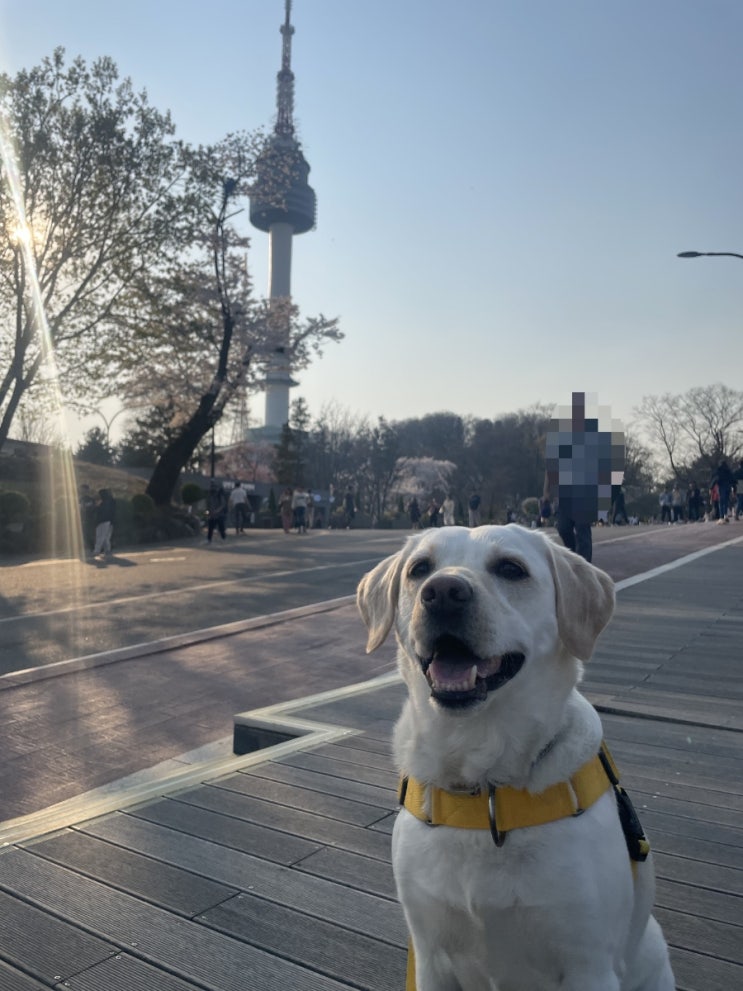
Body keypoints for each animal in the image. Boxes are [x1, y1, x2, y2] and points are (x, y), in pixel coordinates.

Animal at [357, 524, 675, 991]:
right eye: (419, 569)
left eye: (511, 568)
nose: (443, 591)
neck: (486, 790)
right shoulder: (430, 956)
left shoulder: (589, 965)